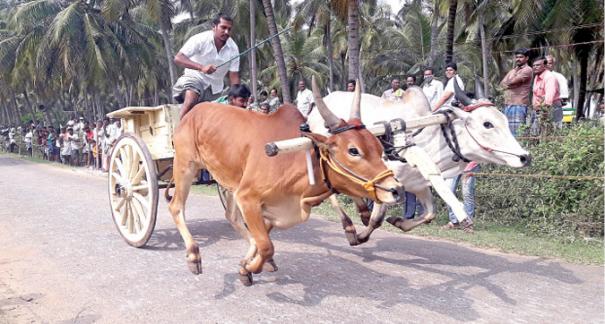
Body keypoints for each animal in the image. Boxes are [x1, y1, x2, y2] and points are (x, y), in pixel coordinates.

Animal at [168, 78, 402, 286]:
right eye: (353, 150)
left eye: (379, 148)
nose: (395, 189)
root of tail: (192, 113)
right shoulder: (248, 197)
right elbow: (266, 245)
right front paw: (250, 266)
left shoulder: (267, 206)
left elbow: (262, 240)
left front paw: (246, 266)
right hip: (185, 165)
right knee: (176, 206)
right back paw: (193, 254)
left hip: (229, 180)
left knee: (231, 216)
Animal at [306, 85, 528, 244]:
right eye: (487, 124)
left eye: (505, 120)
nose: (525, 157)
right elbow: (377, 220)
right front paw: (359, 236)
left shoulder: (417, 185)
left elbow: (429, 213)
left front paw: (398, 222)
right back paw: (350, 224)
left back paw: (361, 211)